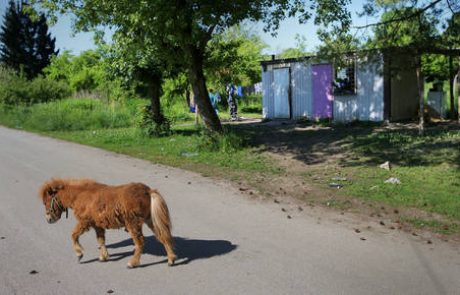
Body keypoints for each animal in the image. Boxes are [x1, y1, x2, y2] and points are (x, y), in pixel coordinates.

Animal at [38, 178, 176, 268]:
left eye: (46, 202)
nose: (48, 219)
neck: (81, 195)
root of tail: (148, 191)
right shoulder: (97, 225)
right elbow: (101, 241)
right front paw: (103, 257)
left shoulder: (84, 222)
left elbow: (73, 235)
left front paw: (79, 254)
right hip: (150, 221)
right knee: (164, 236)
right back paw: (171, 259)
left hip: (133, 224)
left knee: (140, 242)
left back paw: (132, 263)